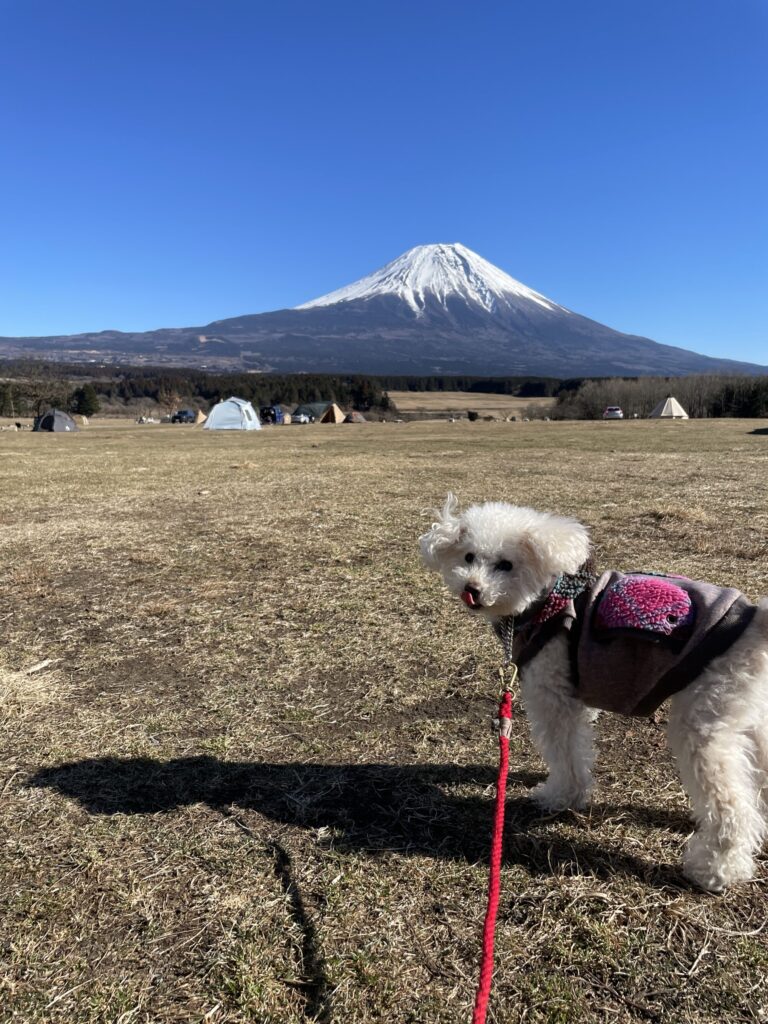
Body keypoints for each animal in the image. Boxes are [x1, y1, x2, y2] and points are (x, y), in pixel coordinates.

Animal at [421, 493, 768, 888]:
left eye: (506, 565)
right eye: (468, 557)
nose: (472, 590)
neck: (549, 602)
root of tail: (755, 621)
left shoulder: (553, 695)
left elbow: (564, 752)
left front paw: (561, 796)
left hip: (705, 718)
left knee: (732, 806)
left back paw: (715, 868)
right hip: (746, 711)